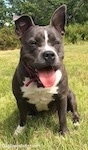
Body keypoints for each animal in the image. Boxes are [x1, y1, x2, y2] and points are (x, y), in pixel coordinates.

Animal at [12, 4, 79, 136]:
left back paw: (76, 121)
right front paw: (19, 131)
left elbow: (62, 117)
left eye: (57, 42)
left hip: (70, 95)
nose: (49, 54)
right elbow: (22, 117)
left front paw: (64, 133)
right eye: (33, 42)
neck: (39, 82)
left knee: (73, 110)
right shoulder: (20, 99)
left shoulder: (62, 97)